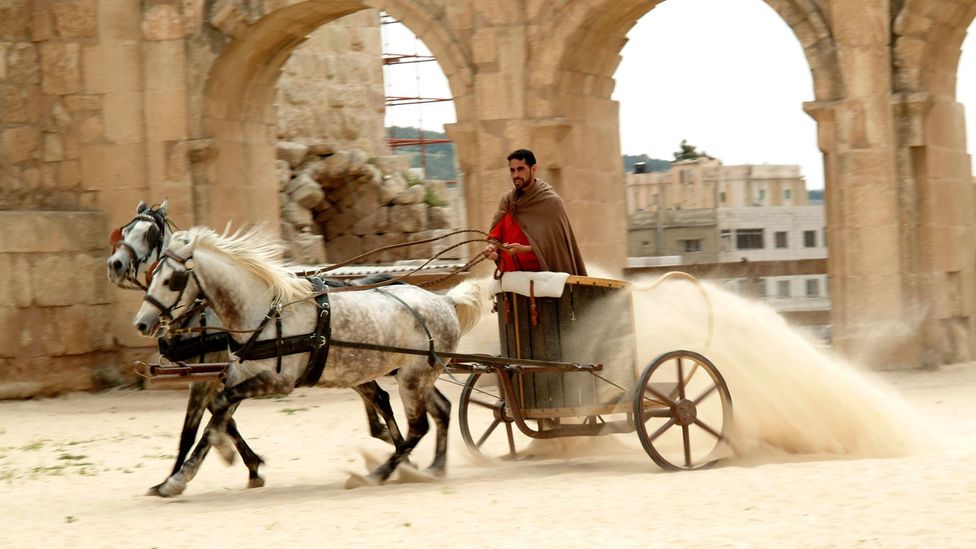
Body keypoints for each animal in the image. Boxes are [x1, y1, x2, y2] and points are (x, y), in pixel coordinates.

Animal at [109, 201, 404, 492]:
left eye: (148, 234)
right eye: (125, 231)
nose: (115, 264)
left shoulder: (210, 377)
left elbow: (195, 428)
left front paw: (187, 472)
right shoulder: (218, 375)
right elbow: (218, 418)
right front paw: (247, 464)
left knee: (379, 396)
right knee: (377, 395)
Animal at [132, 225, 482, 494]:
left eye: (171, 280)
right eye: (151, 273)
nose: (142, 323)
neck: (264, 311)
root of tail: (445, 301)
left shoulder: (277, 381)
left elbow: (215, 414)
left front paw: (223, 454)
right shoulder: (236, 377)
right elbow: (213, 418)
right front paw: (178, 479)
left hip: (412, 378)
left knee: (419, 426)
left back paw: (379, 473)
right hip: (415, 375)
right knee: (441, 410)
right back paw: (434, 467)